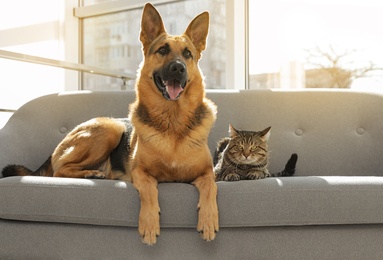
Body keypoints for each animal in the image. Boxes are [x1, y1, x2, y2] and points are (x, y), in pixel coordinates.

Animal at [2, 2, 219, 246]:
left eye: (188, 54)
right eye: (163, 50)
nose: (178, 68)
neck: (172, 122)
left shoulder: (207, 173)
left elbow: (211, 188)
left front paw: (208, 219)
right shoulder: (140, 173)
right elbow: (150, 191)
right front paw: (149, 223)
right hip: (110, 129)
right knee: (59, 171)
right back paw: (91, 173)